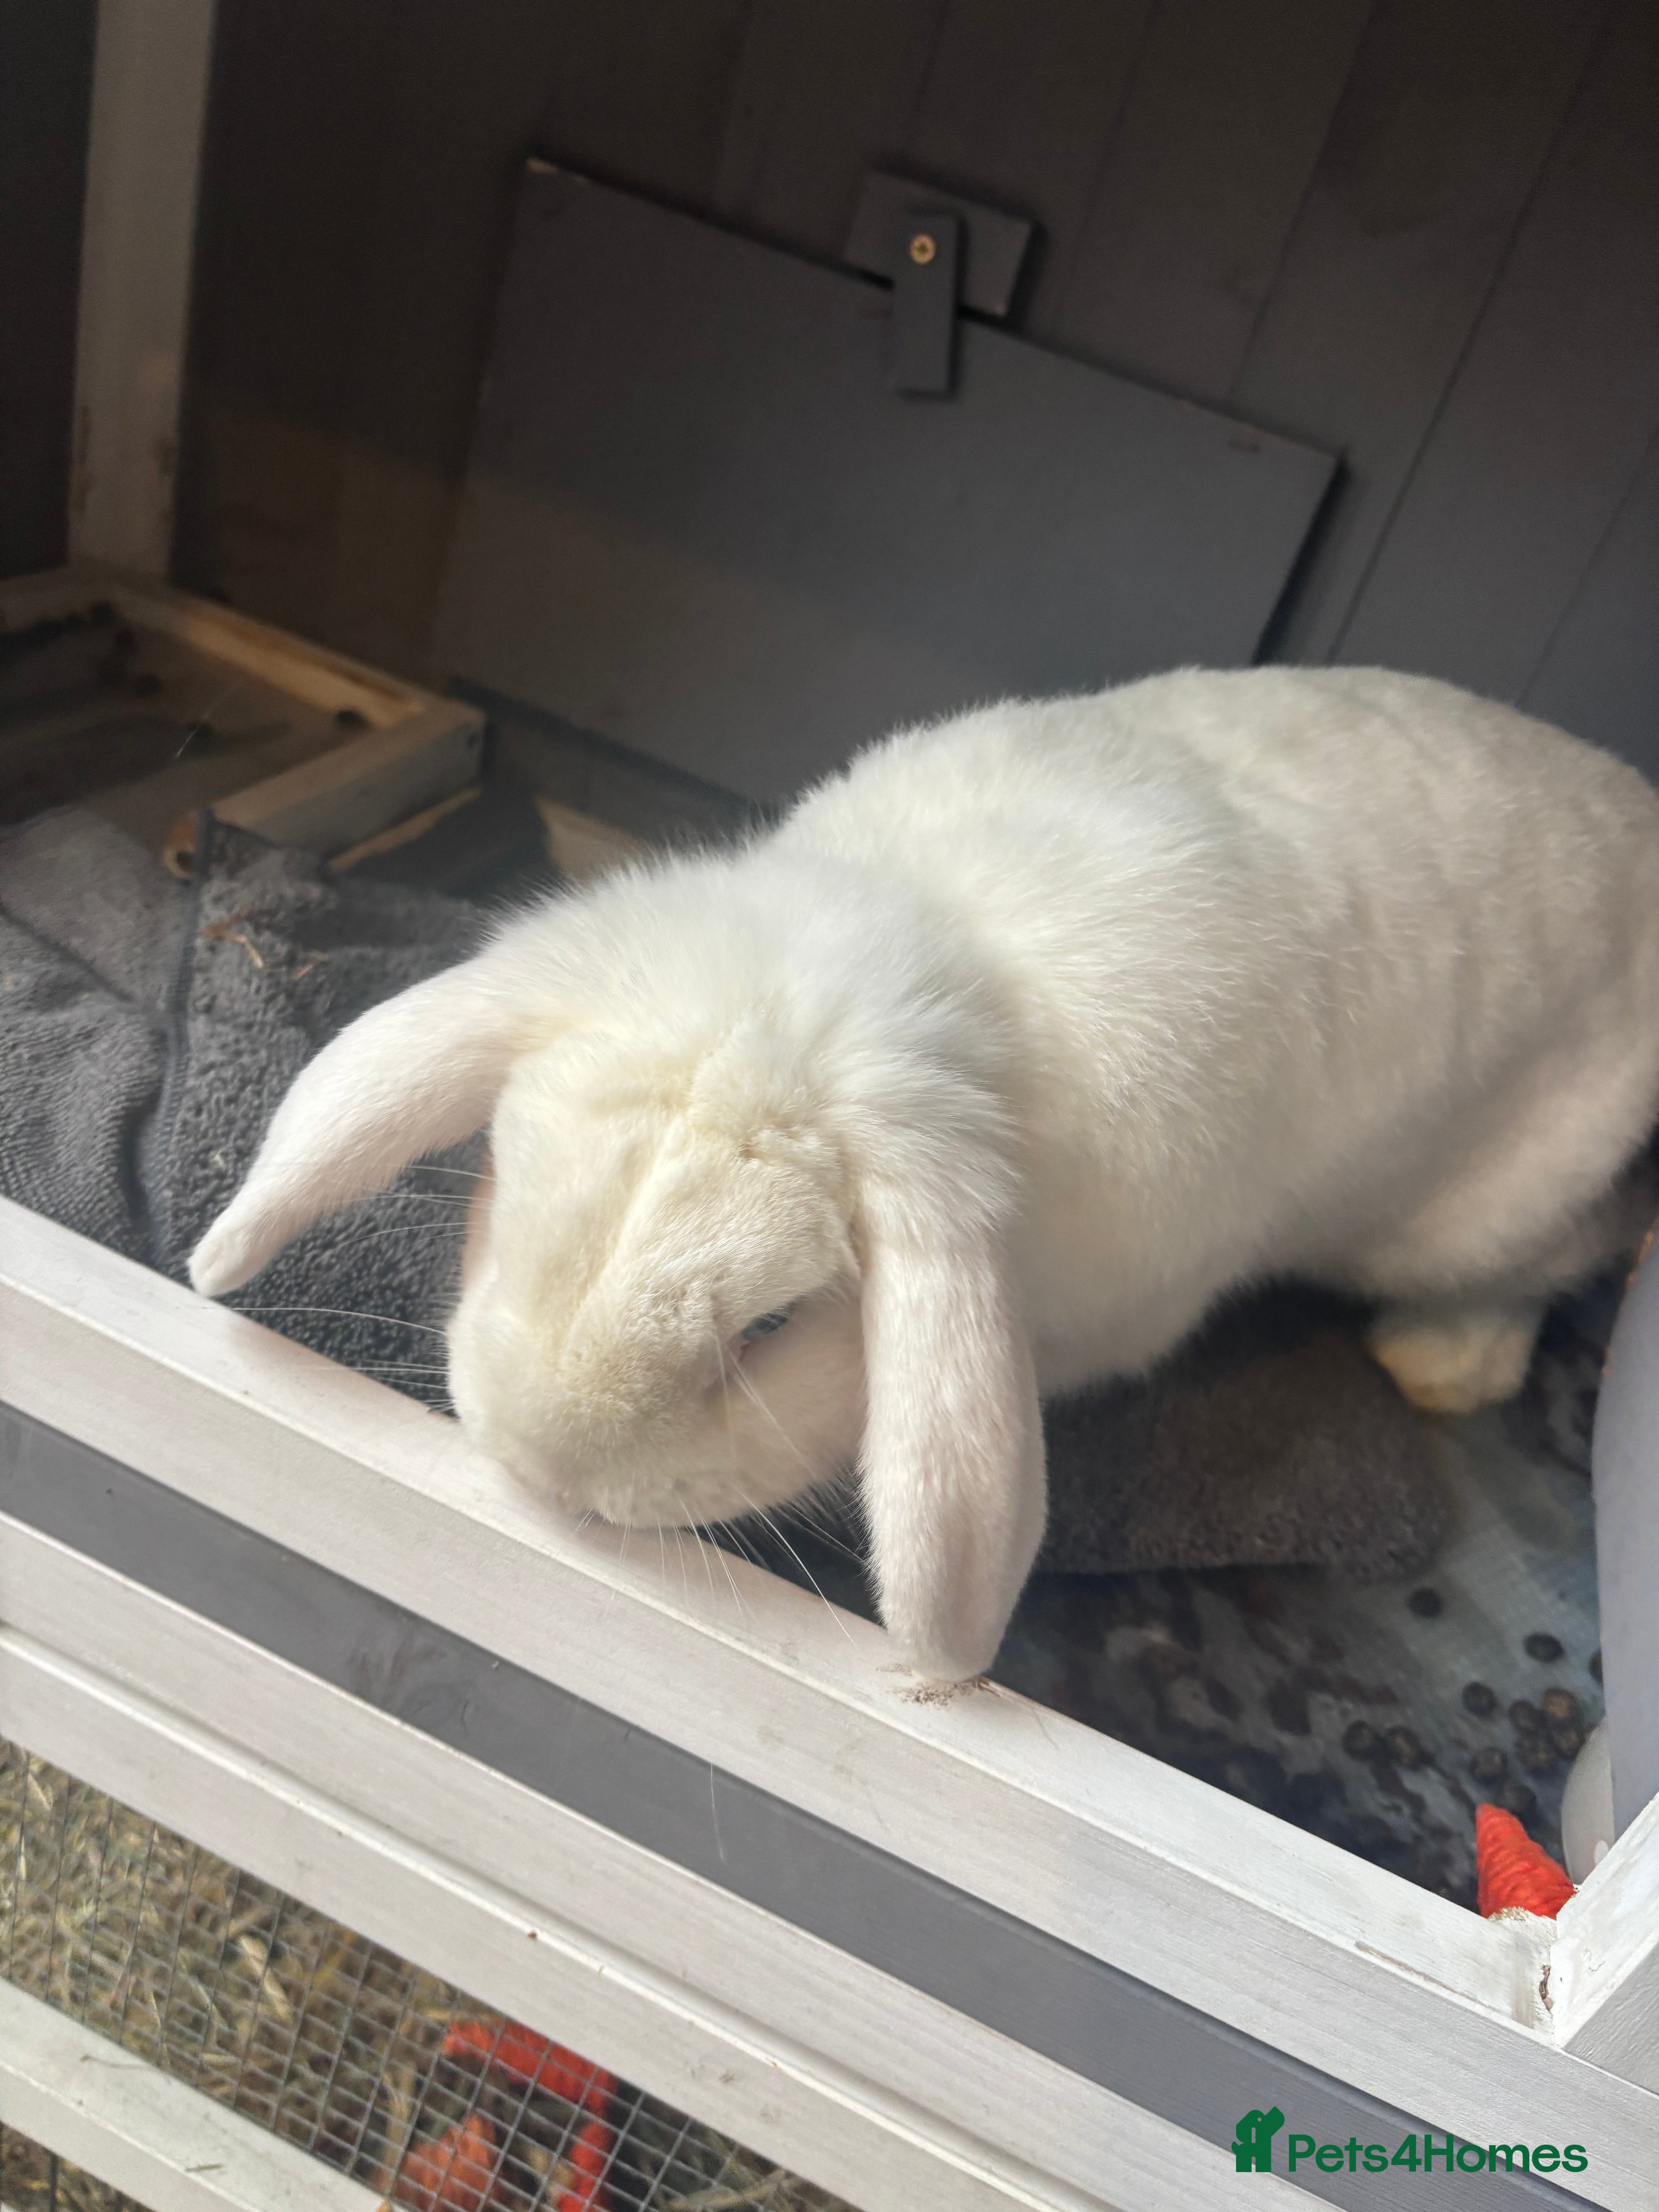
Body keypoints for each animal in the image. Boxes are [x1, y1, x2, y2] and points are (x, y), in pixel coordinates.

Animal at [190, 667, 1659, 1684]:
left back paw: (1441, 1362)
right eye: (504, 1184)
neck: (934, 953)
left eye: (772, 1328)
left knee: (1558, 1254)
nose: (548, 1469)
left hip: (1490, 1198)